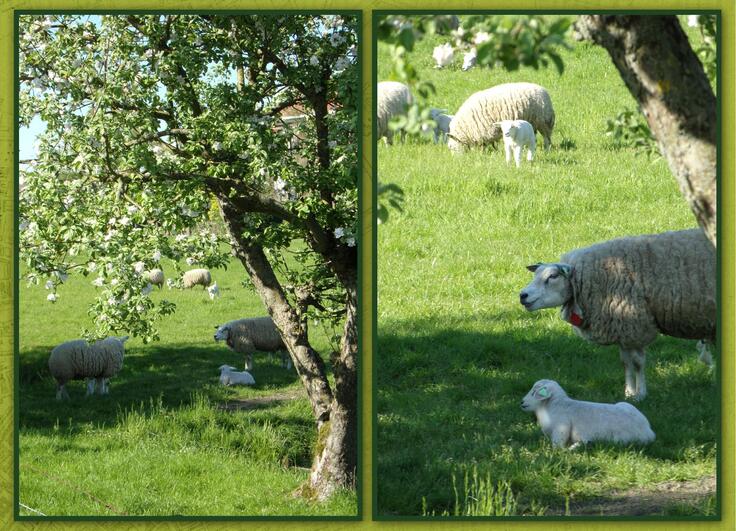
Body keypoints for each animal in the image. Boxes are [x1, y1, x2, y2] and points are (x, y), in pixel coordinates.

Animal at [516, 378, 656, 448]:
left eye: (534, 392)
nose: (522, 402)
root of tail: (648, 432)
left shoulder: (561, 427)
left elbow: (558, 447)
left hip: (619, 440)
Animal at [520, 229, 716, 400]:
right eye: (535, 275)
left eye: (553, 276)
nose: (523, 295)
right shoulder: (622, 329)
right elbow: (625, 362)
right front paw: (628, 393)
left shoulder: (635, 324)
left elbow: (637, 363)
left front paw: (641, 394)